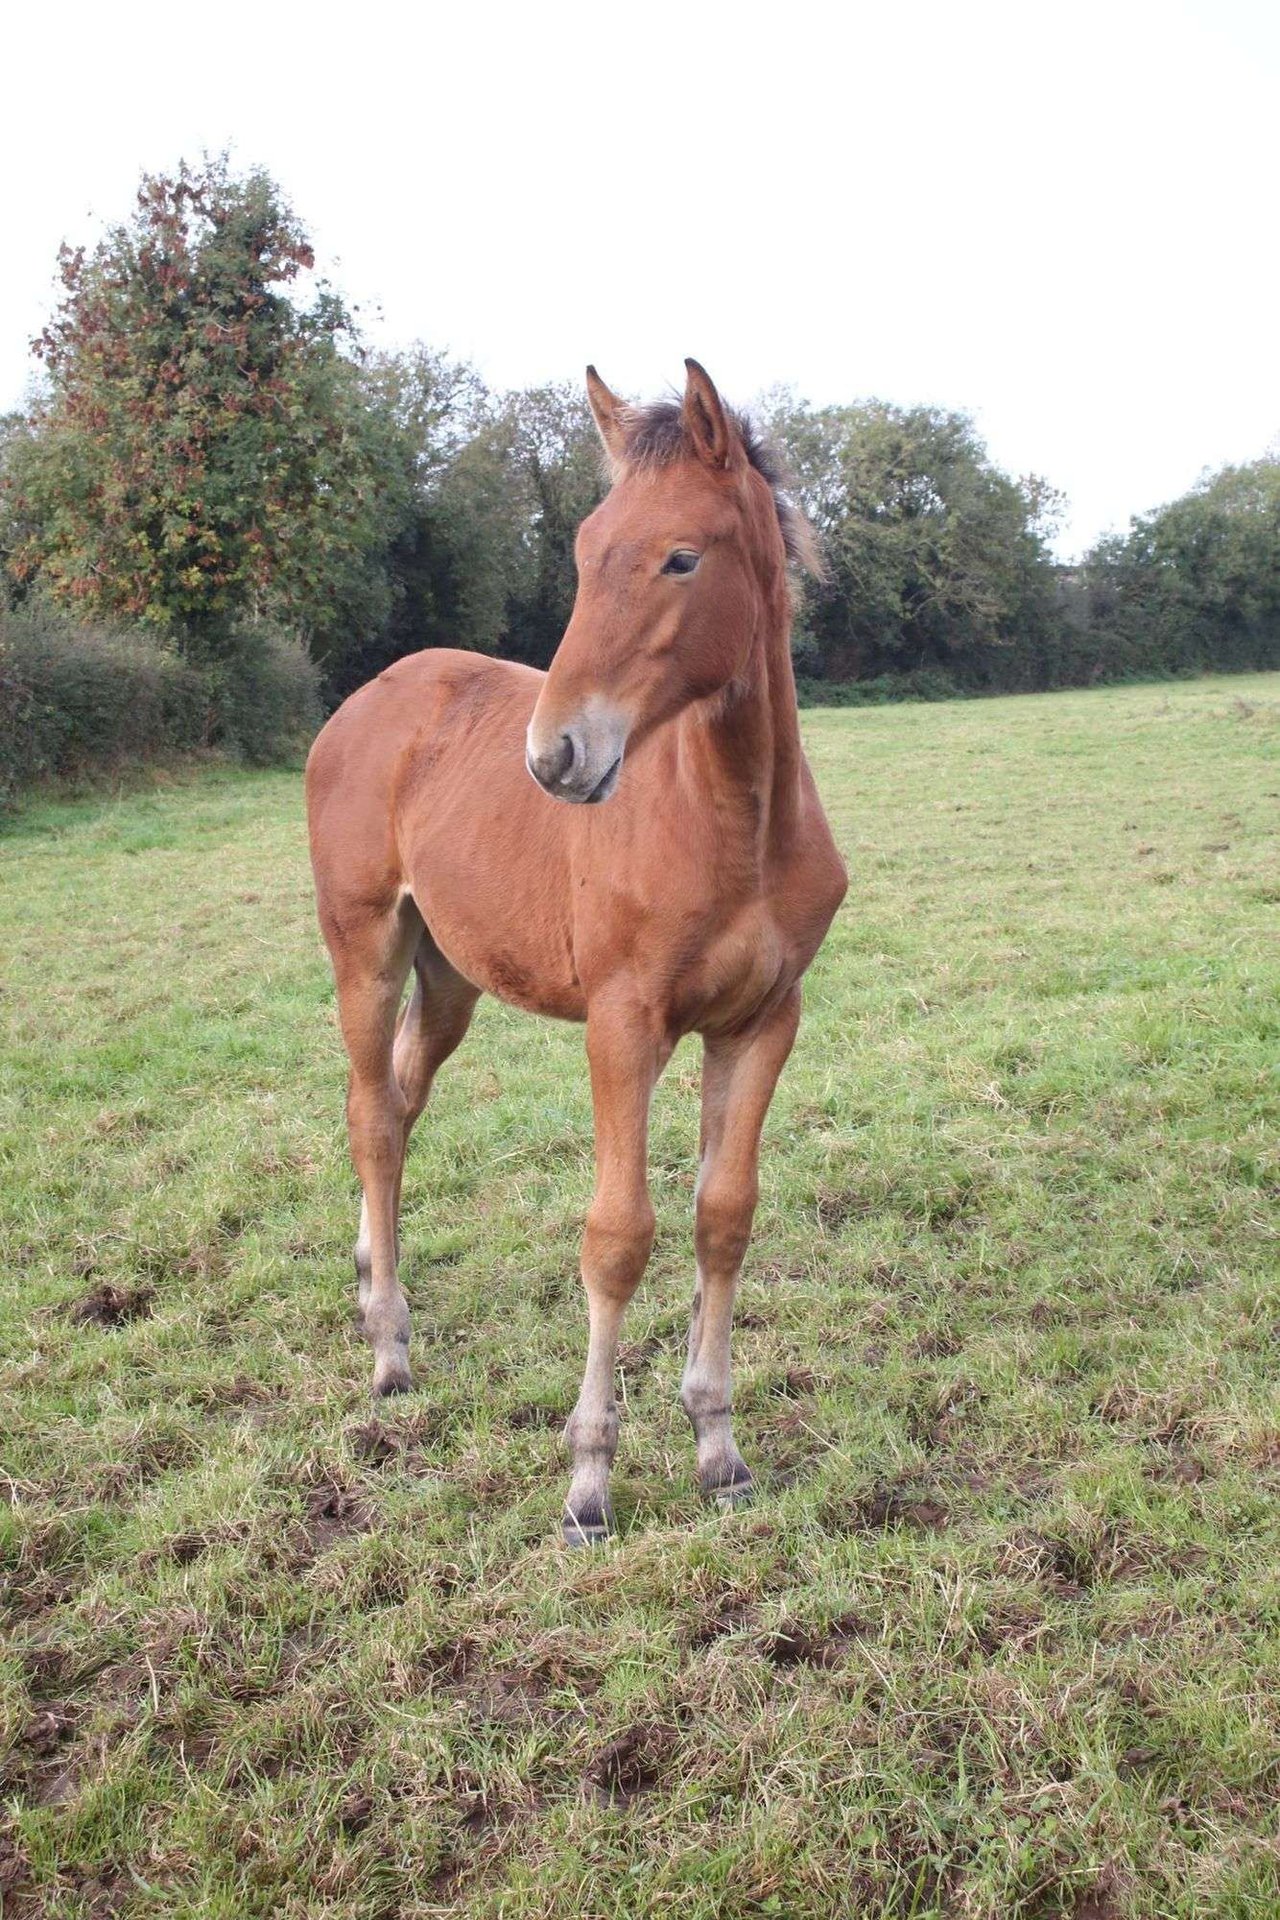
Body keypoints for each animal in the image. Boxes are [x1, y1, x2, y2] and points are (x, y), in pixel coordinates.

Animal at [305, 360, 847, 1543]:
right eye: (585, 548)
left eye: (682, 556)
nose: (554, 755)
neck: (733, 820)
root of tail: (366, 700)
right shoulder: (623, 1024)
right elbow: (617, 1235)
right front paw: (588, 1483)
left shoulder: (762, 1022)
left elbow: (722, 1218)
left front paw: (719, 1450)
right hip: (365, 947)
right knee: (371, 1116)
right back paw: (389, 1349)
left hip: (451, 978)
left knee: (401, 1101)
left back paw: (371, 1276)